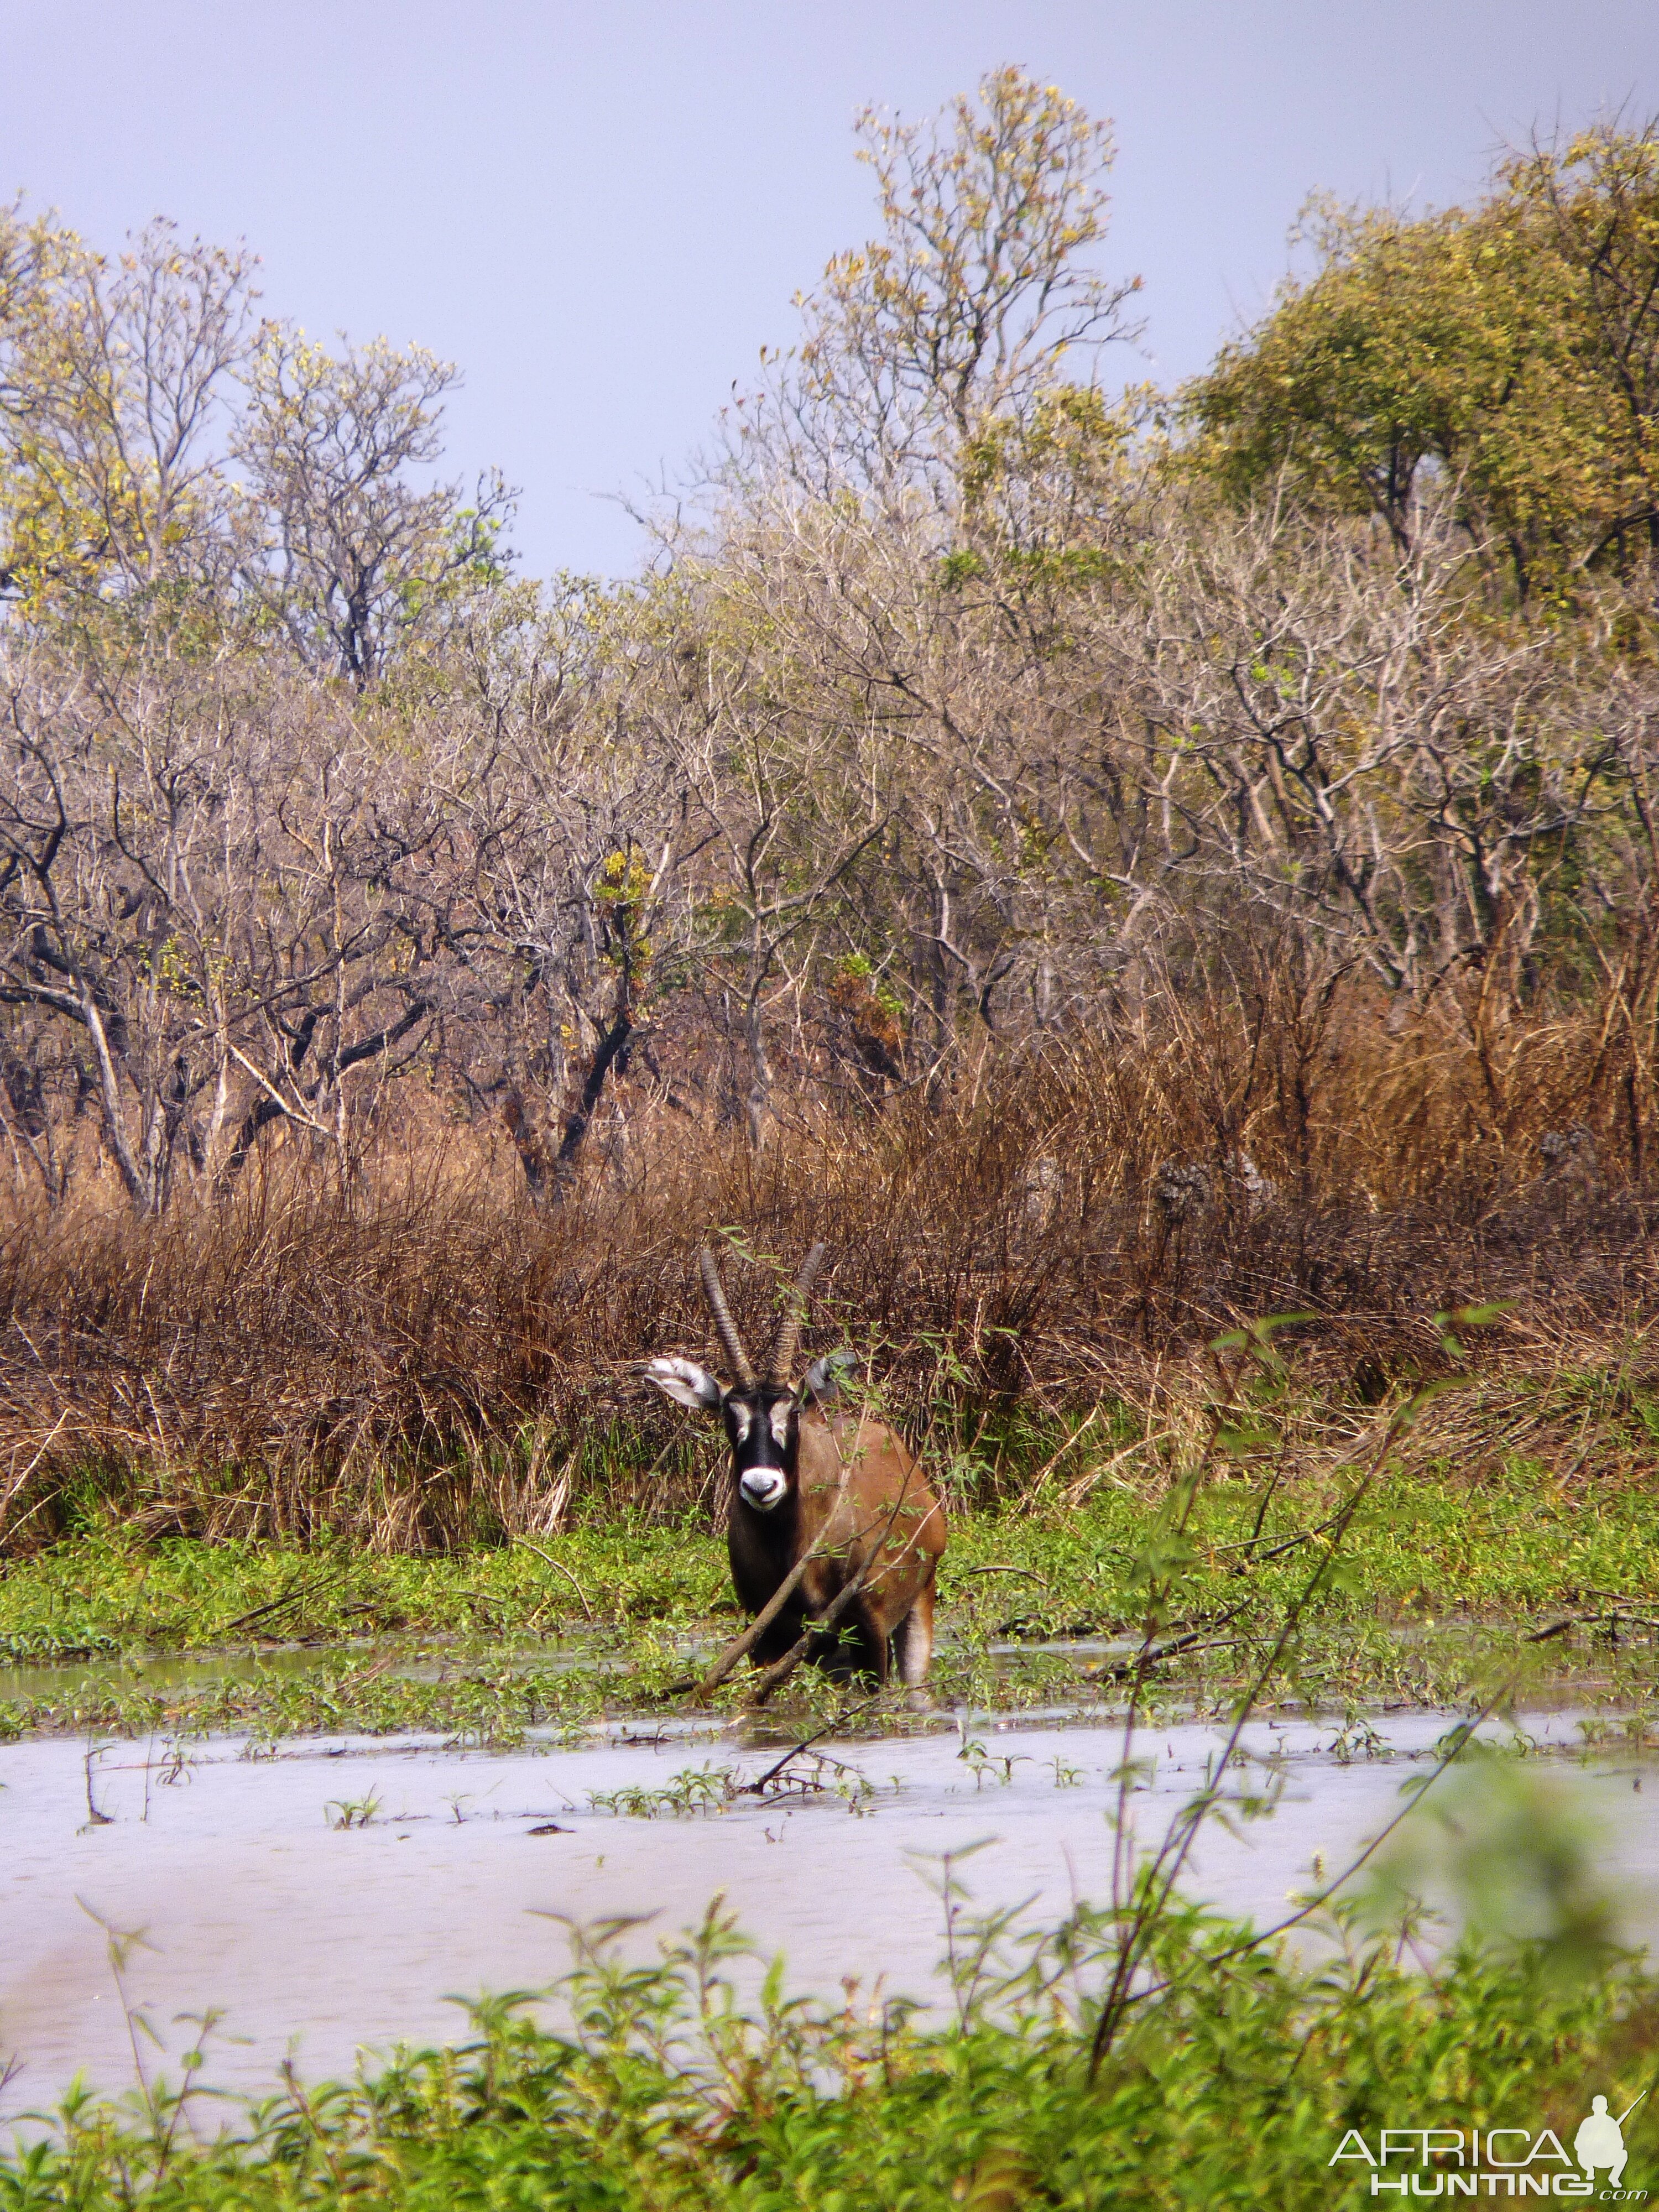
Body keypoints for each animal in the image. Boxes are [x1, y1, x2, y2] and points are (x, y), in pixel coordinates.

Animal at [646, 1248, 942, 1690]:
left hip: (917, 1603)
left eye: (795, 1411)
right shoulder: (767, 1638)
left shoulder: (869, 1631)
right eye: (728, 1415)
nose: (761, 1486)